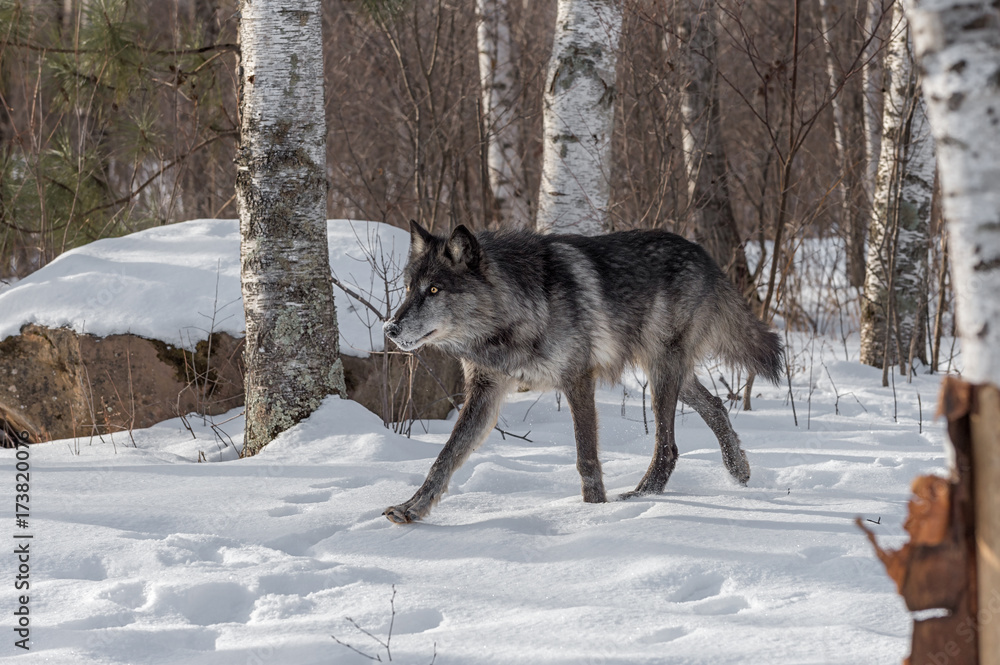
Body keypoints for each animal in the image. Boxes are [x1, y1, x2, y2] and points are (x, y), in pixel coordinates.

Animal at [381, 221, 782, 524]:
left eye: (434, 290)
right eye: (408, 288)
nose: (390, 329)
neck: (515, 313)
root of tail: (704, 254)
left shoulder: (577, 380)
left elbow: (585, 457)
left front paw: (594, 511)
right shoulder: (485, 392)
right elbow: (444, 458)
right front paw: (411, 508)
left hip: (661, 373)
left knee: (668, 446)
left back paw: (639, 498)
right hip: (669, 374)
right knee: (715, 405)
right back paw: (738, 471)